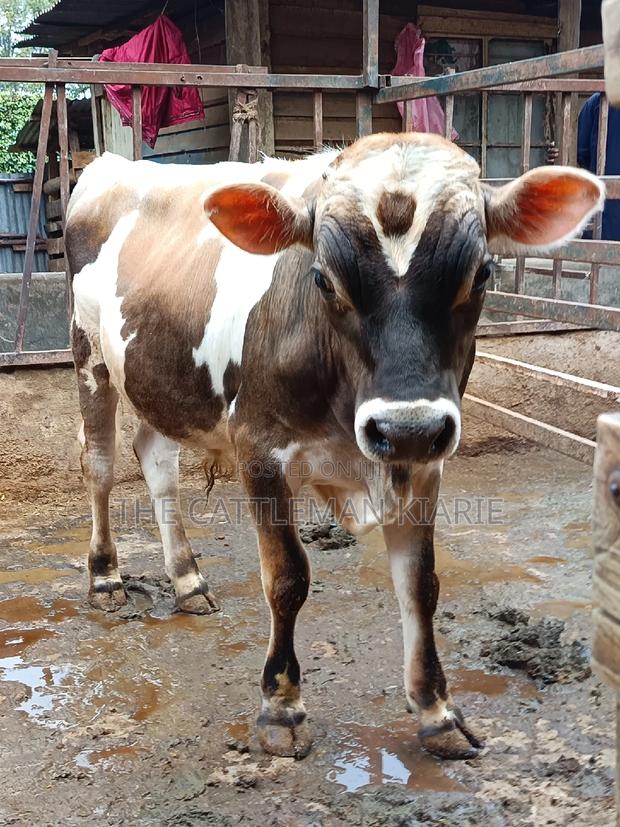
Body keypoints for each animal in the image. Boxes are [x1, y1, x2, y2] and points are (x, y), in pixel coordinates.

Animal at [66, 133, 603, 761]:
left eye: (483, 272)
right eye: (322, 279)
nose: (406, 427)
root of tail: (108, 166)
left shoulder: (424, 462)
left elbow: (420, 584)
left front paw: (437, 712)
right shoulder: (260, 453)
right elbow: (288, 578)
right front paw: (281, 707)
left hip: (163, 383)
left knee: (156, 459)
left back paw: (188, 580)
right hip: (90, 356)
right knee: (101, 465)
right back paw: (106, 578)